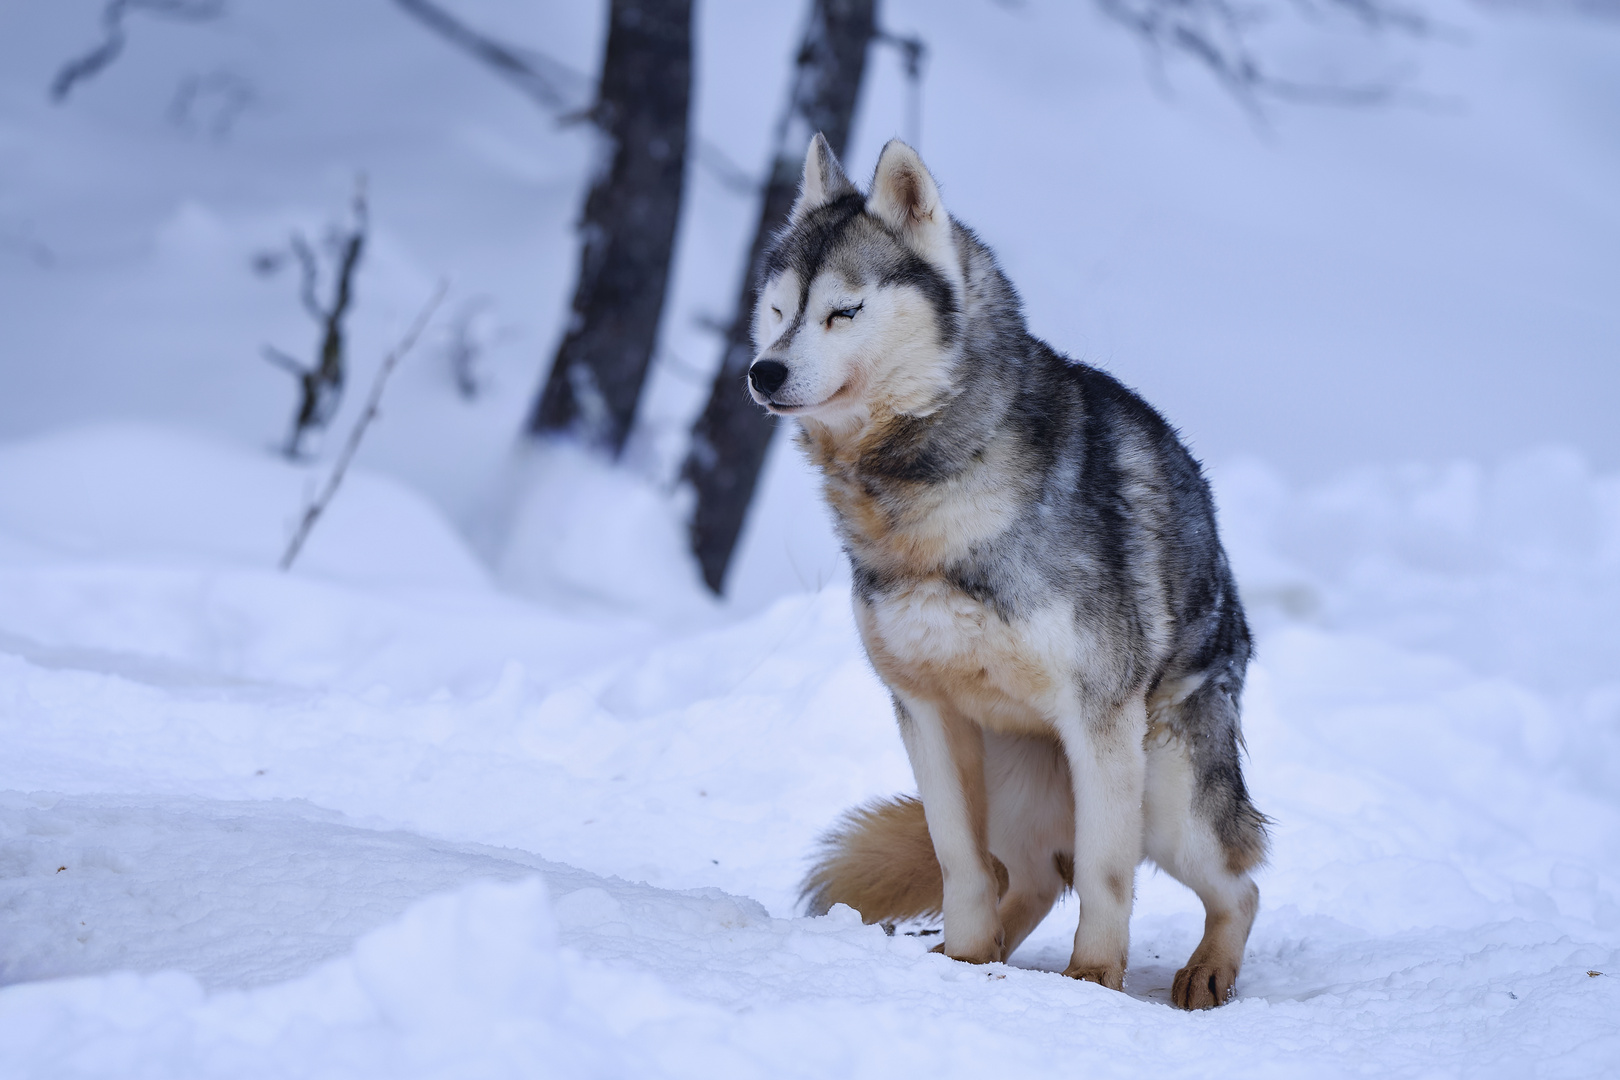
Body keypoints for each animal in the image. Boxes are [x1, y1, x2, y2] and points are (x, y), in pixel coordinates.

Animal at [751, 137, 1270, 1016]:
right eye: (780, 310)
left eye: (844, 311)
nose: (762, 372)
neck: (926, 489)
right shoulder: (924, 713)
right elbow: (960, 864)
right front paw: (966, 959)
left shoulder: (1100, 723)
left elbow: (1104, 876)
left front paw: (1091, 984)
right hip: (1015, 785)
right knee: (1023, 878)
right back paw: (972, 957)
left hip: (1167, 798)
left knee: (1240, 882)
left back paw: (1206, 973)